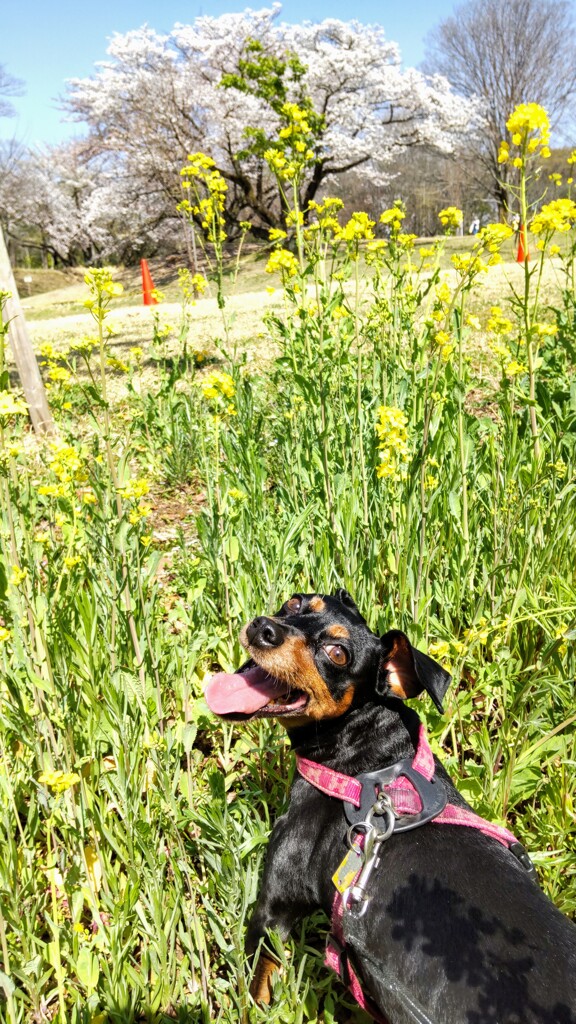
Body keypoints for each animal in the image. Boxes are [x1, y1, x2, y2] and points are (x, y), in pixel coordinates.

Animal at [204, 593, 573, 1024]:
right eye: (296, 603)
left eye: (338, 654)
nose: (265, 628)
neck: (367, 759)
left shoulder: (272, 911)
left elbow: (255, 989)